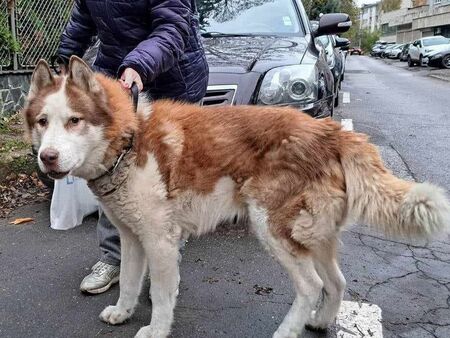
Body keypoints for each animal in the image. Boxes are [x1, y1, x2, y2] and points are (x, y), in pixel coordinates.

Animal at [23, 55, 450, 338]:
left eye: (74, 121)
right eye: (43, 122)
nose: (47, 157)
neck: (130, 140)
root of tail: (330, 131)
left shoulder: (160, 242)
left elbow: (161, 293)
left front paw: (156, 329)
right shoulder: (131, 238)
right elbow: (128, 282)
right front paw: (122, 312)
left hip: (273, 229)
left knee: (311, 286)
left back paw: (288, 331)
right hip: (313, 236)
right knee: (337, 282)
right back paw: (320, 321)